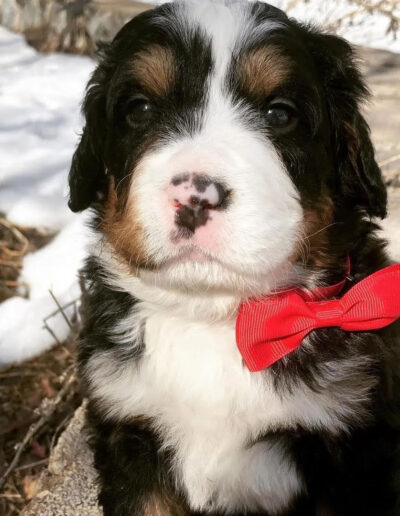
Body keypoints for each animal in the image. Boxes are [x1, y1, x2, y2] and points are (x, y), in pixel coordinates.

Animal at [68, 1, 400, 516]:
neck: (216, 318)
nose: (196, 195)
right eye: (139, 109)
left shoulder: (352, 445)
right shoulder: (130, 435)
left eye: (280, 113)